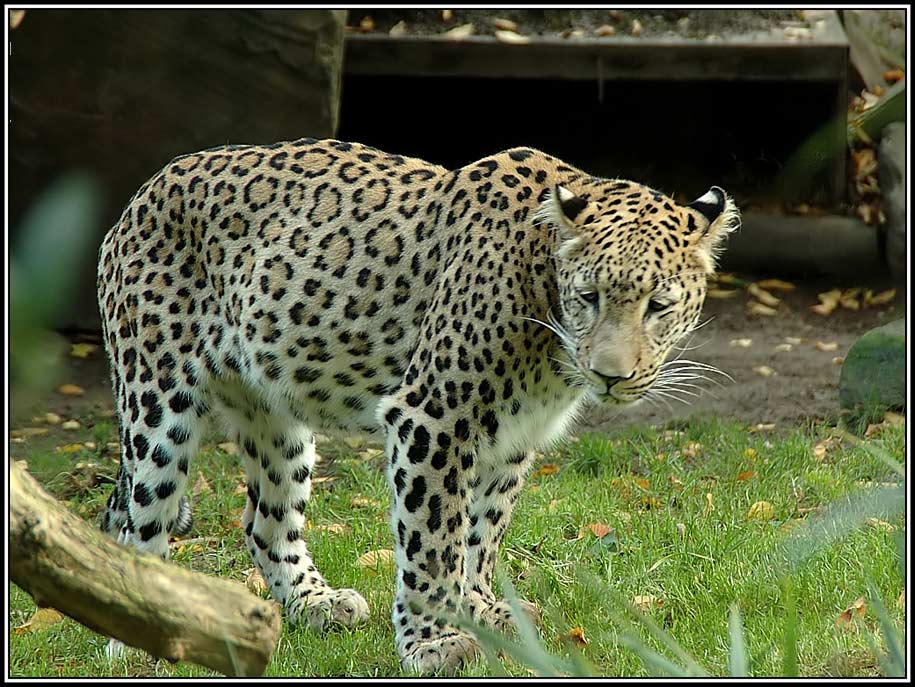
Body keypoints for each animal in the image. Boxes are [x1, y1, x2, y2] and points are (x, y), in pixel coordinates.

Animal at [96, 137, 740, 676]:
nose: (610, 375)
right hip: (156, 404)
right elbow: (433, 539)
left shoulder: (512, 439)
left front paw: (483, 609)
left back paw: (316, 605)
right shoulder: (434, 417)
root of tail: (143, 193)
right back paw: (137, 638)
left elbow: (481, 531)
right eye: (590, 297)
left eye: (658, 306)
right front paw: (436, 640)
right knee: (137, 530)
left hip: (275, 417)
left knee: (264, 521)